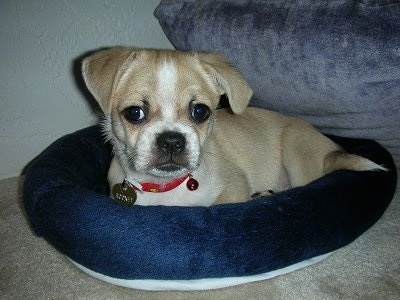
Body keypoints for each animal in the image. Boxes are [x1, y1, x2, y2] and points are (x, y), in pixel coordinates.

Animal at [80, 47, 384, 206]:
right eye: (135, 113)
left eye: (200, 111)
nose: (172, 140)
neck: (166, 189)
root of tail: (333, 151)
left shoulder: (234, 187)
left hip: (296, 149)